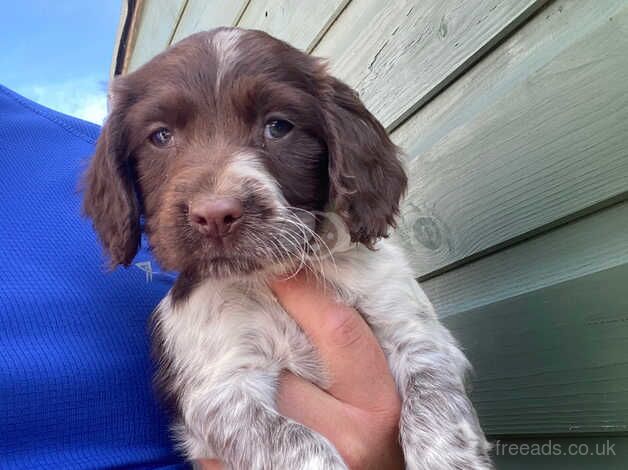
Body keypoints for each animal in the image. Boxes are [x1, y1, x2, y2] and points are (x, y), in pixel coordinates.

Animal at [81, 27, 494, 468]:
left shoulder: (416, 331)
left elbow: (434, 403)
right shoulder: (220, 388)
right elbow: (302, 443)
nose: (215, 215)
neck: (269, 275)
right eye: (161, 136)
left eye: (278, 126)